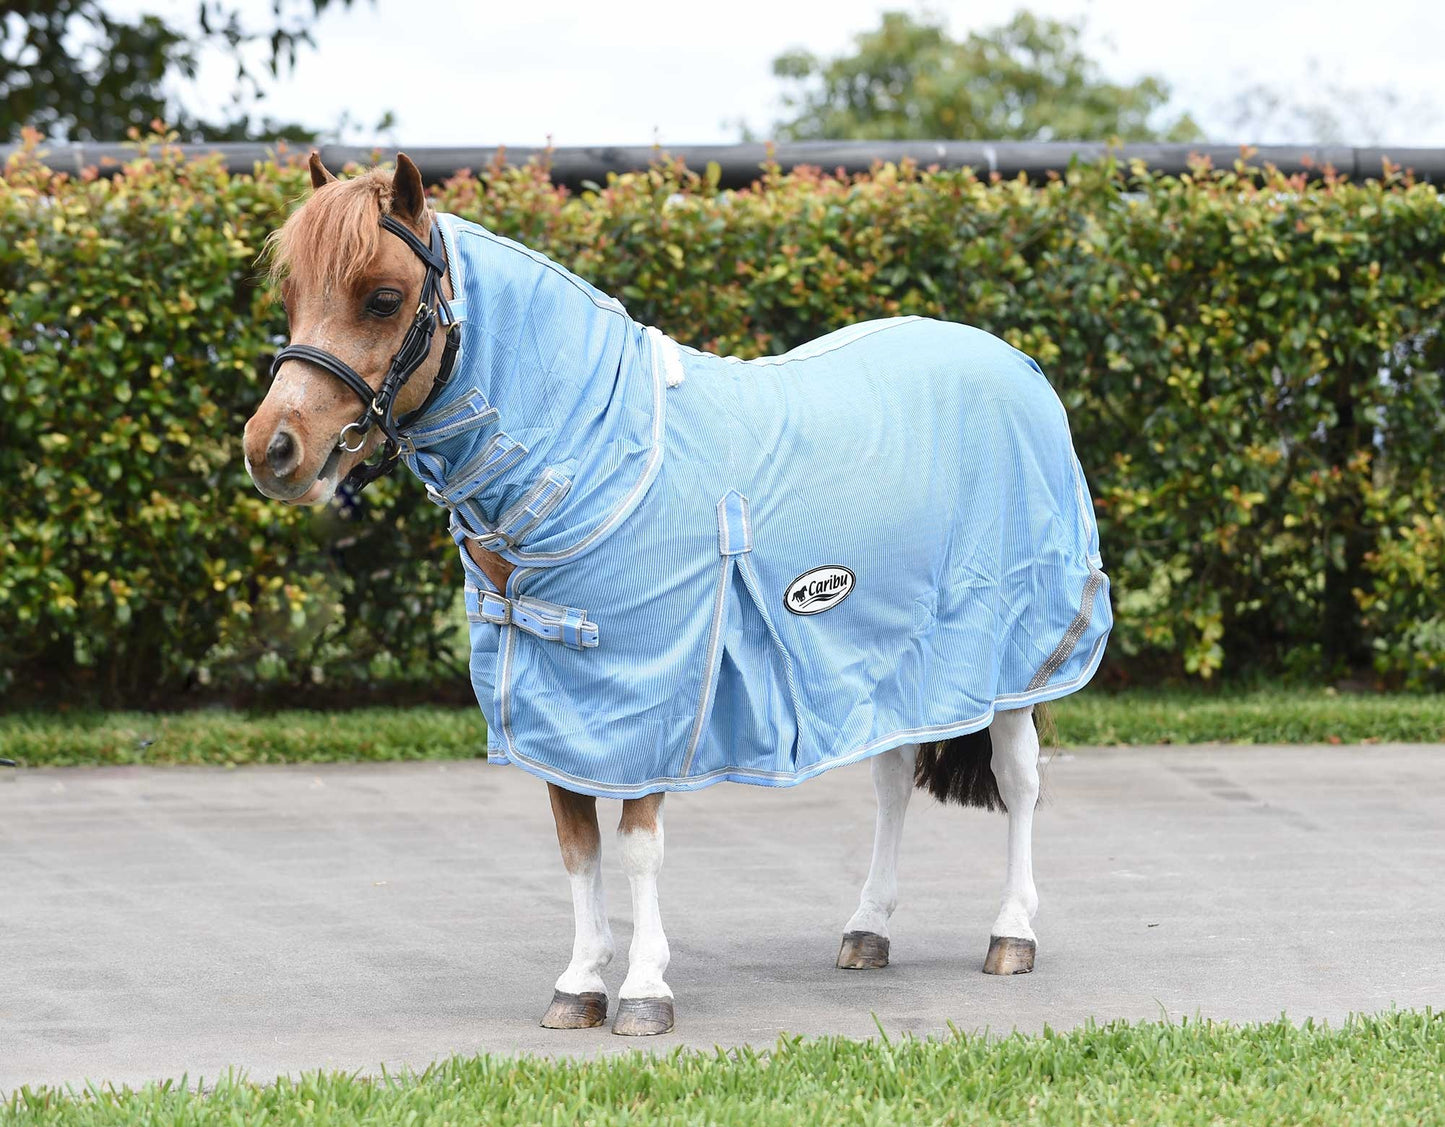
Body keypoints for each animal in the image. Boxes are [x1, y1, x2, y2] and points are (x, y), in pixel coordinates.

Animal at [244, 153, 1111, 1037]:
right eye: (291, 295)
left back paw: (1010, 934)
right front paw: (579, 983)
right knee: (893, 775)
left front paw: (644, 991)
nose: (271, 449)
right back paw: (867, 928)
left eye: (383, 298)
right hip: (893, 661)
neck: (594, 454)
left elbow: (635, 846)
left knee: (1018, 780)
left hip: (1010, 660)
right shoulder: (561, 706)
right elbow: (576, 846)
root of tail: (1016, 365)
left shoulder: (655, 698)